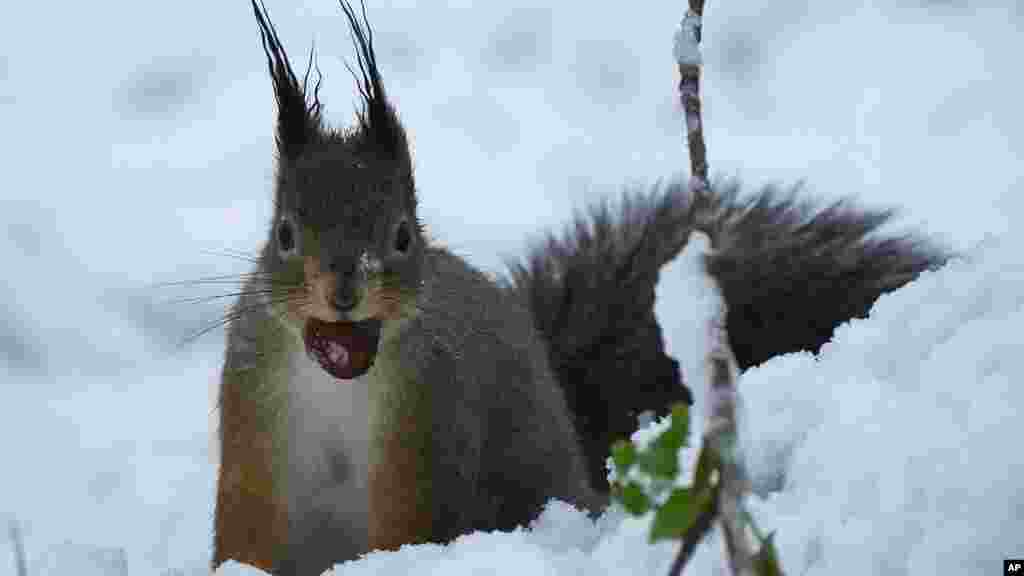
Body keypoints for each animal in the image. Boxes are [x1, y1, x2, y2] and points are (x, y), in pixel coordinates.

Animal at [211, 2, 946, 569]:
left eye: (402, 236)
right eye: (283, 233)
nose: (343, 291)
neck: (338, 369)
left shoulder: (427, 430)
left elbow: (408, 527)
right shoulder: (252, 426)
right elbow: (245, 534)